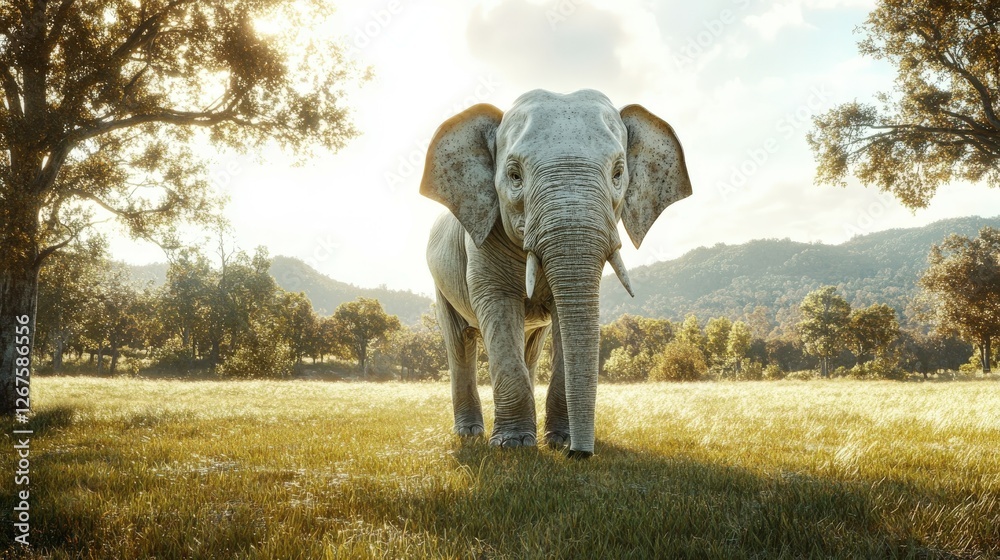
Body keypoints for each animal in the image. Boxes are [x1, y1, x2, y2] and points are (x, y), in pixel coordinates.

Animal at [421, 89, 692, 458]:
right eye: (514, 175)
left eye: (618, 173)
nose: (580, 454)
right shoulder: (481, 243)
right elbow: (497, 306)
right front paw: (512, 446)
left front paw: (557, 440)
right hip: (439, 281)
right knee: (459, 342)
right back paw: (469, 434)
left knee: (531, 346)